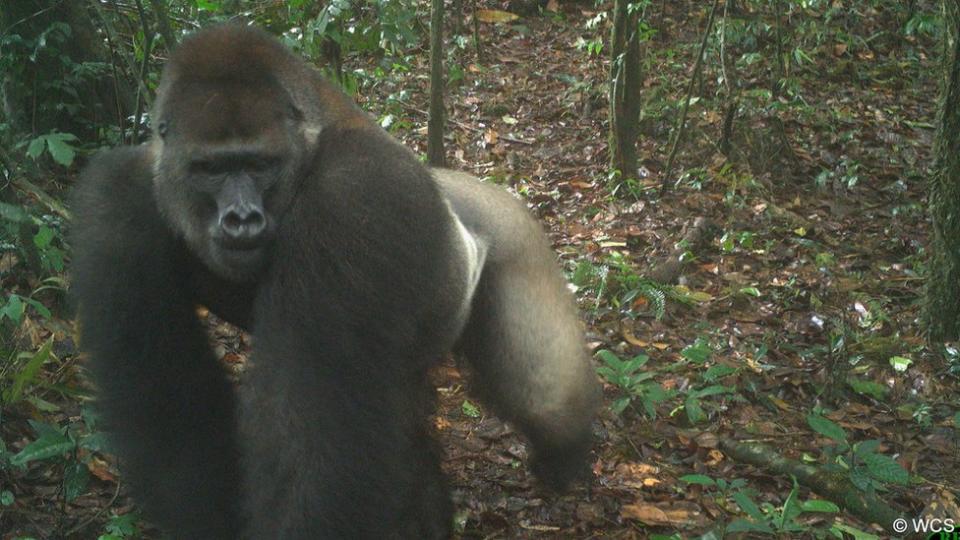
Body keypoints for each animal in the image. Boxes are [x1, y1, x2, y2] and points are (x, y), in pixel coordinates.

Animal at [67, 23, 596, 536]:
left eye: (259, 164)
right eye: (209, 169)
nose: (241, 219)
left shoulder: (354, 197)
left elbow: (317, 441)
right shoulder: (118, 198)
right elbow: (168, 403)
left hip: (514, 234)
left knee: (542, 398)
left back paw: (565, 452)